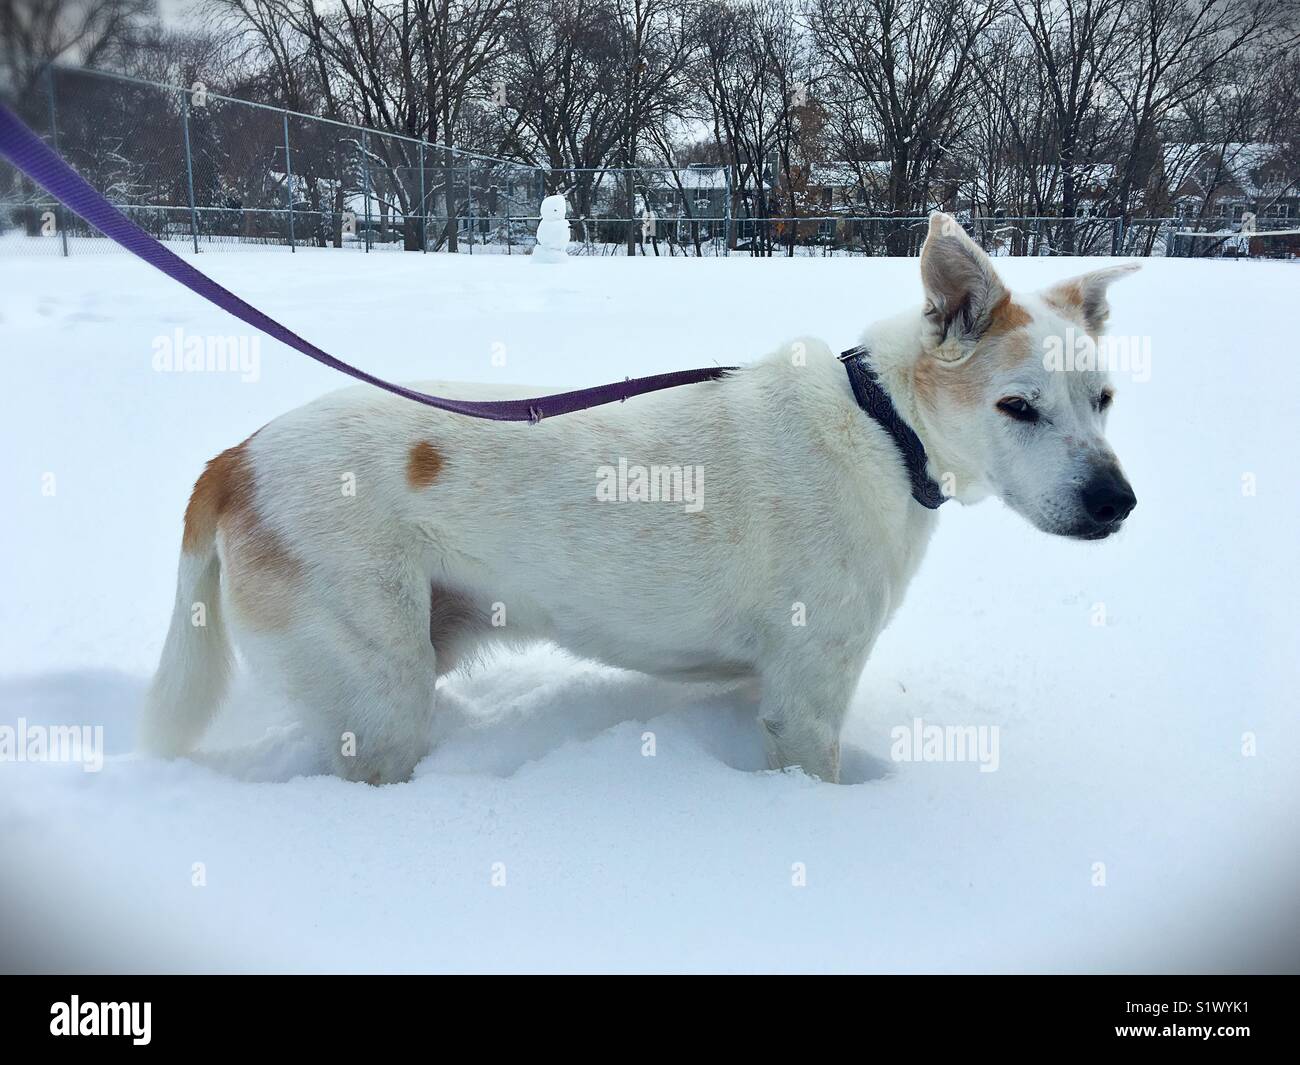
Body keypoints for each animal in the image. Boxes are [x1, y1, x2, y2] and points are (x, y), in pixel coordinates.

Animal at [144, 214, 1138, 785]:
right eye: (1018, 406)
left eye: (1104, 398)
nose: (1118, 502)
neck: (884, 426)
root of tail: (236, 457)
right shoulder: (808, 696)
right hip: (379, 693)